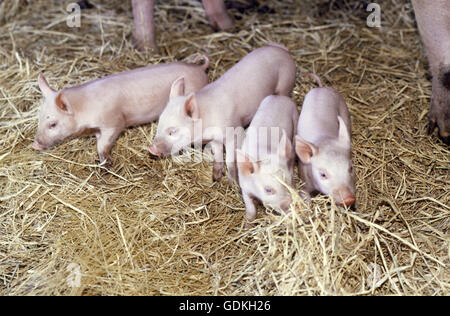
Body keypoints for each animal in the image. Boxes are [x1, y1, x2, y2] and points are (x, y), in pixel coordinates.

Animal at [33, 56, 209, 164]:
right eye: (39, 119)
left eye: (53, 124)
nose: (35, 144)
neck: (85, 108)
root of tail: (200, 68)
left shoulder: (114, 122)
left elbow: (104, 143)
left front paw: (107, 163)